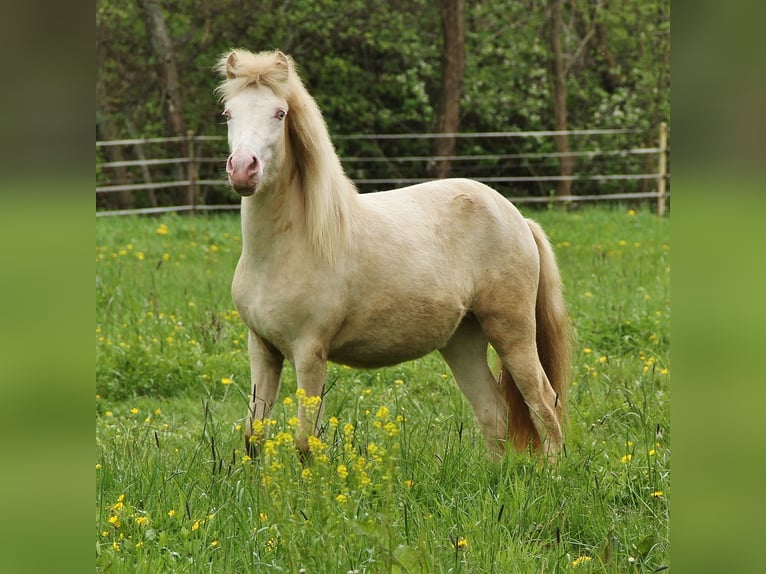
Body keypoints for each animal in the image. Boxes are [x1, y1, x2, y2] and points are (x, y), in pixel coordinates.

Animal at [214, 50, 568, 464]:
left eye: (280, 113)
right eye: (228, 113)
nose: (243, 169)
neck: (287, 247)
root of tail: (517, 218)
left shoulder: (309, 351)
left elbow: (305, 443)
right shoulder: (263, 348)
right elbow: (254, 436)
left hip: (512, 330)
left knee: (543, 402)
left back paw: (553, 470)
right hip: (462, 341)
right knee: (493, 411)